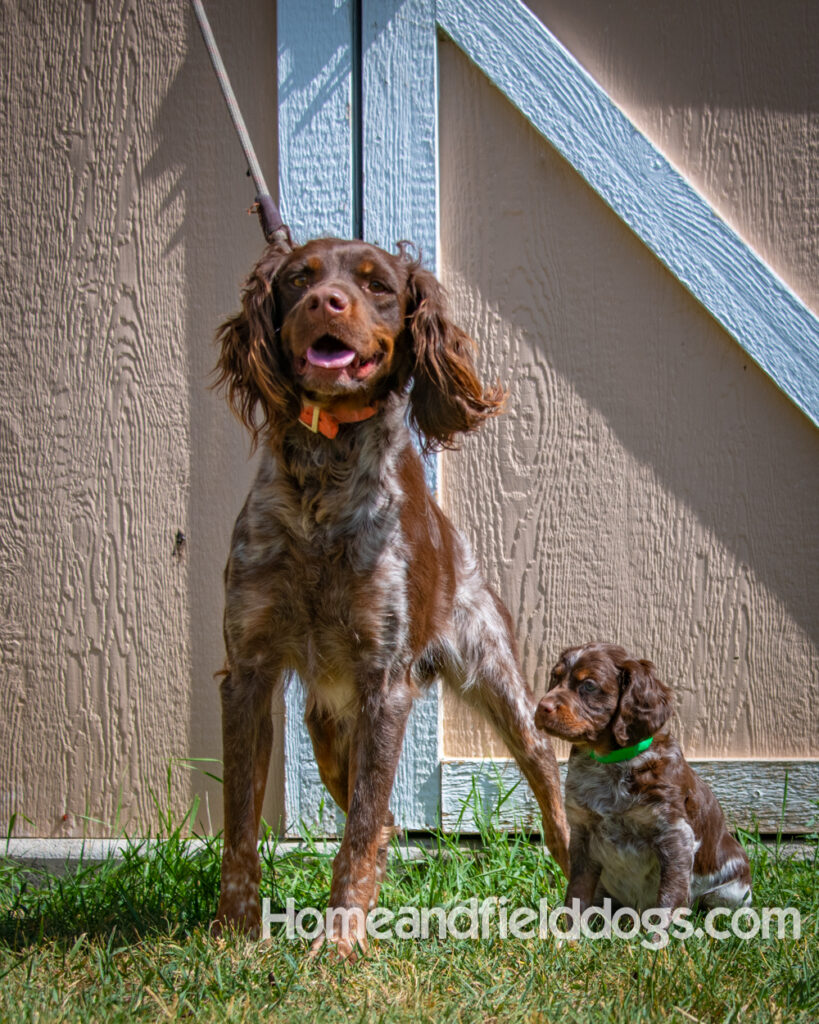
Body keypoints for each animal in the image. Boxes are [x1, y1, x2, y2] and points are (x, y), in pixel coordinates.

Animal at [210, 235, 569, 954]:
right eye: (298, 279)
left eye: (377, 285)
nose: (327, 302)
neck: (324, 479)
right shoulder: (248, 671)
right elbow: (242, 821)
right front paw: (235, 927)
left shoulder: (386, 678)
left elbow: (356, 834)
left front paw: (341, 938)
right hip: (327, 734)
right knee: (359, 803)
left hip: (499, 680)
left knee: (546, 777)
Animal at [532, 643, 753, 917]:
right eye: (555, 677)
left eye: (589, 685)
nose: (542, 706)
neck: (610, 763)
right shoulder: (582, 832)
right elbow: (576, 895)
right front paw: (570, 929)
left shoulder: (674, 834)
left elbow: (668, 900)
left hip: (731, 891)